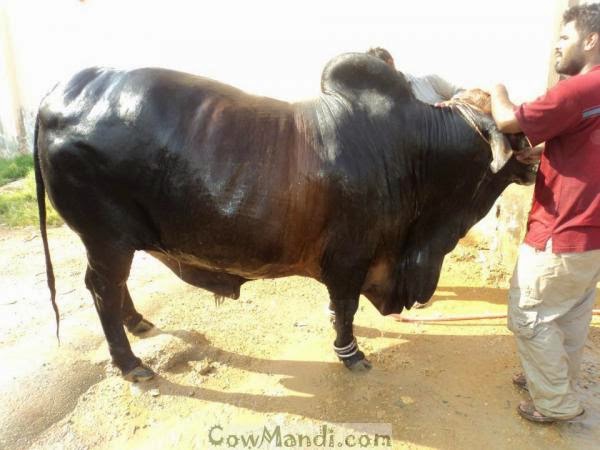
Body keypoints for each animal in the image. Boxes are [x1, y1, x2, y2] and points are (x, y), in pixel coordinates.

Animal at [34, 54, 536, 382]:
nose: (533, 161)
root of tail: (57, 94)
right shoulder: (351, 257)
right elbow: (345, 307)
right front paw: (350, 353)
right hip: (105, 236)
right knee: (102, 289)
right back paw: (130, 363)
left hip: (115, 239)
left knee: (112, 287)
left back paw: (139, 323)